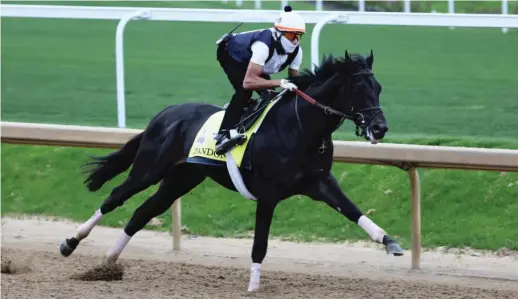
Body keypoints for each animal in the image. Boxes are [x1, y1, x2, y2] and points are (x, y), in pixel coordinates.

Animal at [59, 51, 404, 292]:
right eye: (358, 87)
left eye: (379, 87)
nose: (380, 128)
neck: (300, 128)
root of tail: (166, 113)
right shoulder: (268, 193)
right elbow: (260, 243)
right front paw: (253, 286)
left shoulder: (319, 182)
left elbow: (354, 211)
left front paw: (390, 242)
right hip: (150, 169)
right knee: (116, 197)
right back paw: (71, 243)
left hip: (181, 178)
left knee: (142, 212)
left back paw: (108, 263)